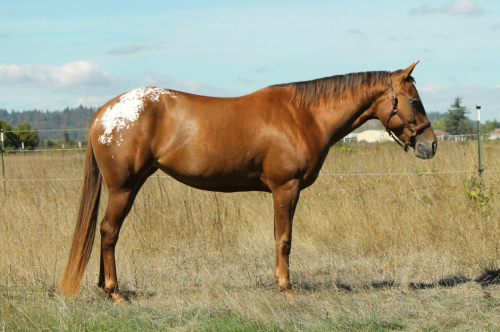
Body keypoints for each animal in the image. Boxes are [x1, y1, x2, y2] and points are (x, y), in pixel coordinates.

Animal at [59, 62, 438, 304]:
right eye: (414, 100)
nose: (430, 145)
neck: (303, 115)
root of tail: (105, 112)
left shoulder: (281, 192)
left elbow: (277, 237)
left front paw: (277, 282)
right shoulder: (286, 188)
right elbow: (285, 239)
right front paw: (286, 288)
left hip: (132, 185)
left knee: (105, 233)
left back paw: (105, 287)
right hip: (123, 189)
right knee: (109, 232)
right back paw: (115, 292)